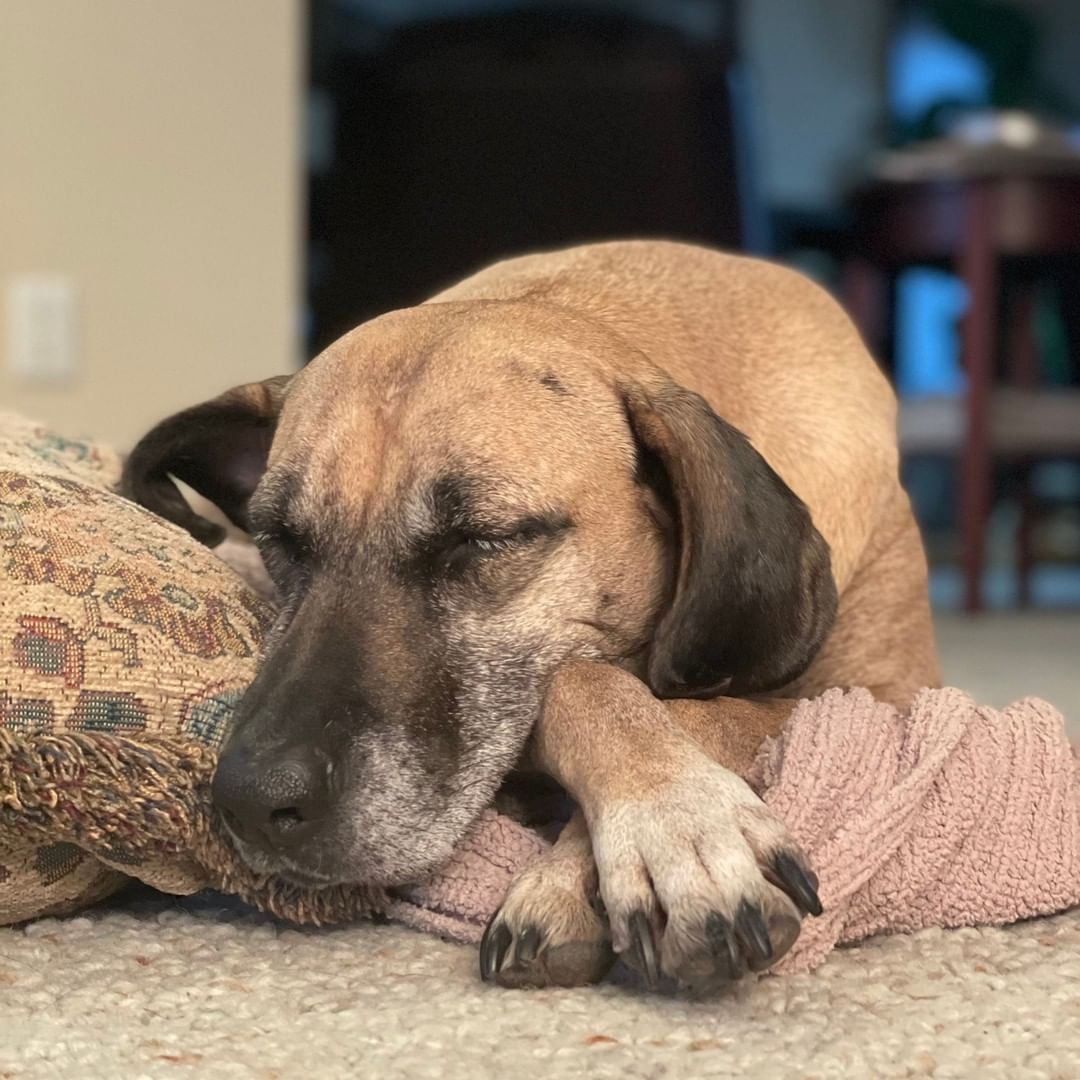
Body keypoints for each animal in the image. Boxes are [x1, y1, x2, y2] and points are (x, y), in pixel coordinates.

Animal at [122, 240, 941, 989]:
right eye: (278, 538)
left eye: (483, 538)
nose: (251, 800)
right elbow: (581, 685)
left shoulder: (886, 703)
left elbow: (645, 694)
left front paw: (676, 824)